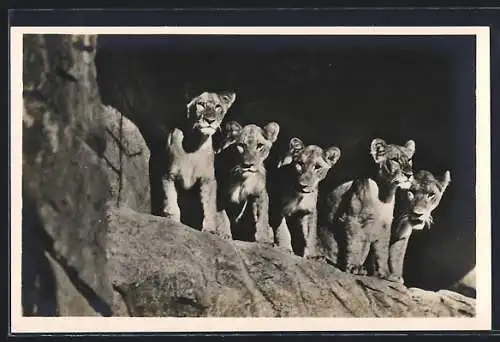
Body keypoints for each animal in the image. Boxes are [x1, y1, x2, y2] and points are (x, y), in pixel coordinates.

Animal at [149, 91, 235, 238]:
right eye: (201, 104)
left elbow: (209, 206)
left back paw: (225, 234)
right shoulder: (168, 175)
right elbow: (171, 201)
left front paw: (210, 229)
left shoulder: (208, 180)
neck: (195, 144)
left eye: (218, 106)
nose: (210, 120)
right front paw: (172, 221)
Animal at [318, 138, 416, 280]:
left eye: (409, 160)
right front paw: (354, 267)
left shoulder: (385, 227)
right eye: (395, 160)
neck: (385, 194)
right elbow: (354, 245)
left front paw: (385, 273)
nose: (409, 174)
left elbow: (382, 252)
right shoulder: (353, 219)